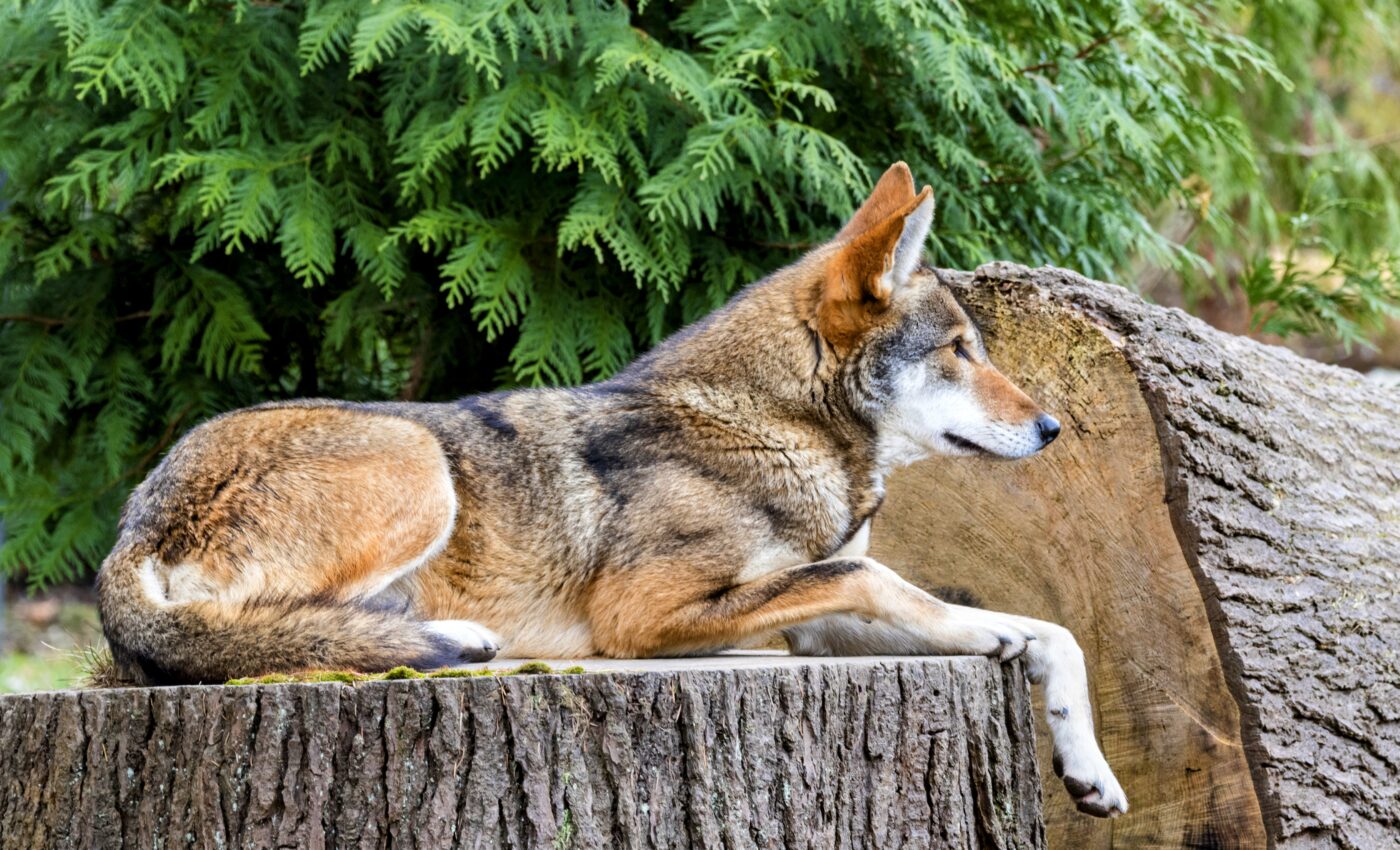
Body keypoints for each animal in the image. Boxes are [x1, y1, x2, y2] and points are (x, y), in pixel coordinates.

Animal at [97, 162, 1127, 816]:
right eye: (959, 353)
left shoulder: (820, 613)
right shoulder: (646, 612)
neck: (772, 428)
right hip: (418, 467)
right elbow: (882, 578)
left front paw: (1086, 766)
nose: (1053, 429)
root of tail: (131, 528)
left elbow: (1041, 630)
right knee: (262, 638)